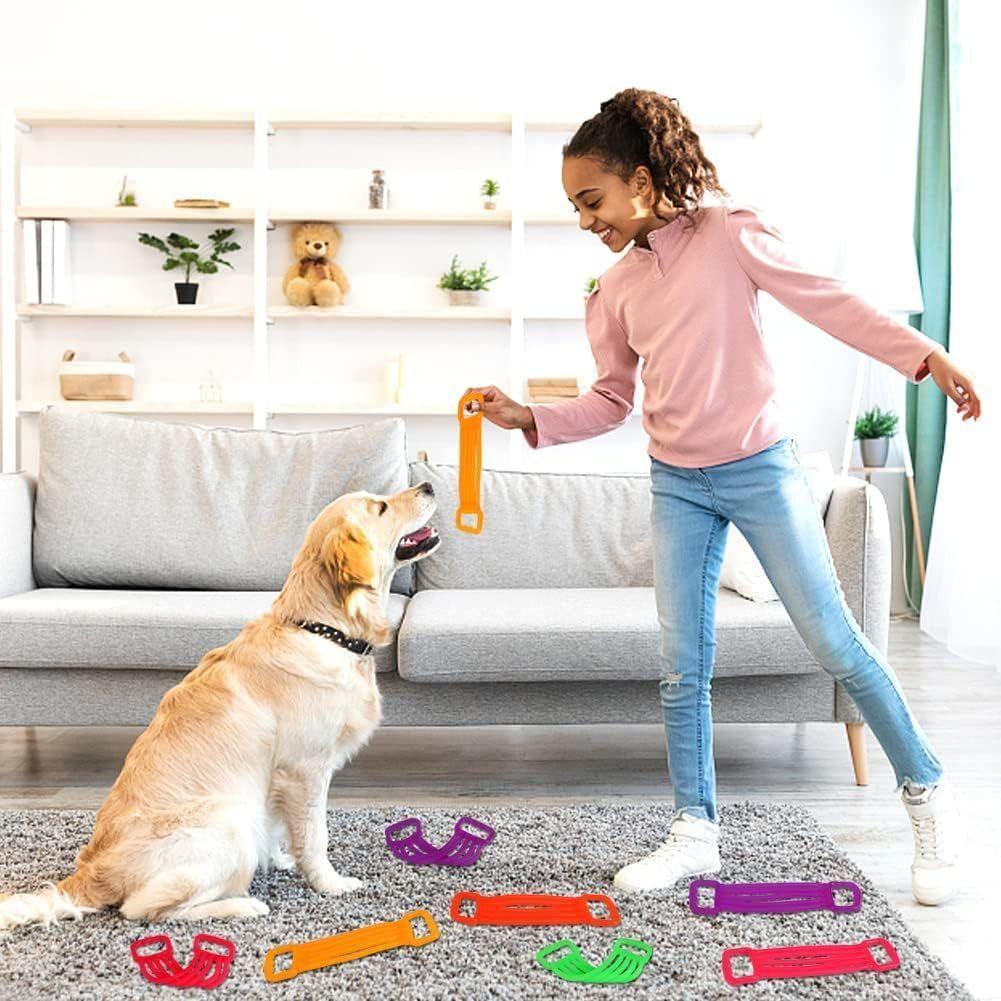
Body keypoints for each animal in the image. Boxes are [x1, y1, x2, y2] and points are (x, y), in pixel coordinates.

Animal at [0, 480, 438, 924]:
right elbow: (316, 835)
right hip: (227, 824)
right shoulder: (304, 769)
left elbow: (280, 827)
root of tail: (92, 874)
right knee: (146, 909)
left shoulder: (276, 779)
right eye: (380, 507)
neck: (321, 629)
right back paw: (242, 904)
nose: (428, 485)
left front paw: (279, 858)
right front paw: (329, 884)